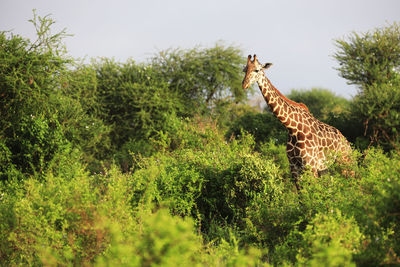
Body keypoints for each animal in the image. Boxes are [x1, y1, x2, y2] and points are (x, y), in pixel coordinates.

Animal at [241, 54, 350, 189]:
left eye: (257, 70)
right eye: (245, 70)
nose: (244, 84)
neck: (292, 128)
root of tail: (347, 142)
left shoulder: (310, 166)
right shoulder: (293, 166)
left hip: (345, 163)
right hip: (326, 169)